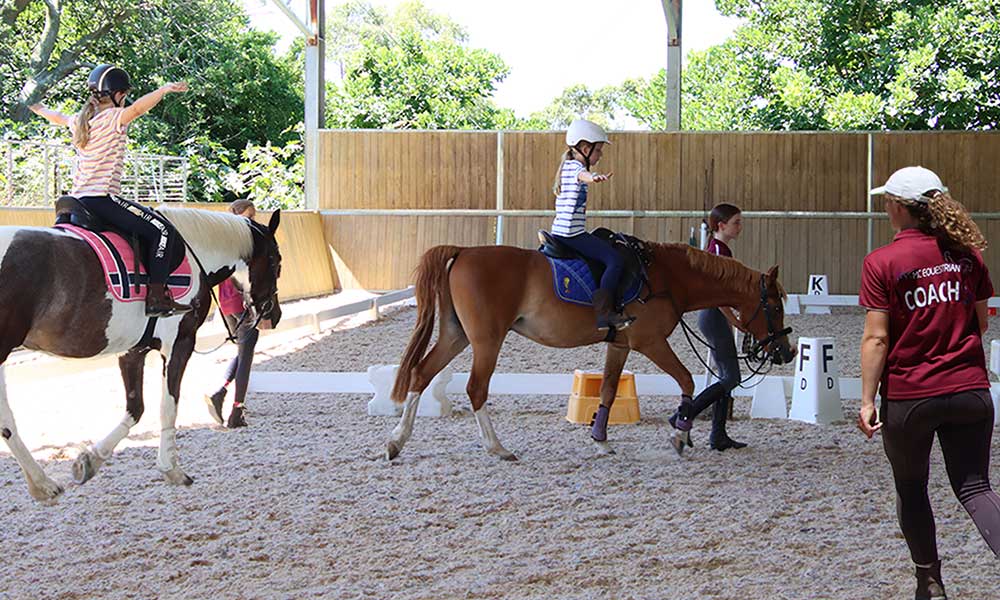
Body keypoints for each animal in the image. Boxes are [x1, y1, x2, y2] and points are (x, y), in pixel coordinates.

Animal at [0, 206, 282, 502]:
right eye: (276, 262)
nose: (273, 314)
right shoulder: (181, 343)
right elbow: (168, 406)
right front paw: (172, 470)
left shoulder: (133, 349)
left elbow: (135, 409)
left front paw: (90, 460)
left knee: (6, 423)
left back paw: (42, 484)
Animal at [386, 239, 792, 460]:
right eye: (774, 306)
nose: (785, 352)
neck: (667, 278)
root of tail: (464, 251)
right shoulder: (651, 343)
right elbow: (687, 382)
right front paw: (679, 433)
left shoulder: (621, 345)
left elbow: (609, 391)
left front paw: (600, 441)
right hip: (487, 339)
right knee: (476, 388)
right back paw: (497, 448)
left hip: (457, 335)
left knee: (421, 373)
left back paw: (396, 442)